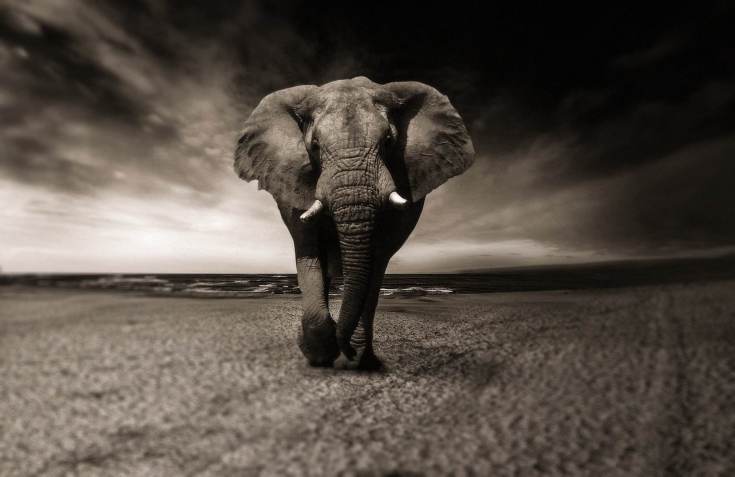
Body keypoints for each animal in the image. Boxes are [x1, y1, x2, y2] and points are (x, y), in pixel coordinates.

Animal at [234, 76, 474, 370]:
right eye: (314, 145)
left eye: (388, 141)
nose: (345, 349)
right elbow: (308, 250)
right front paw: (320, 354)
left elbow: (377, 259)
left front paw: (355, 357)